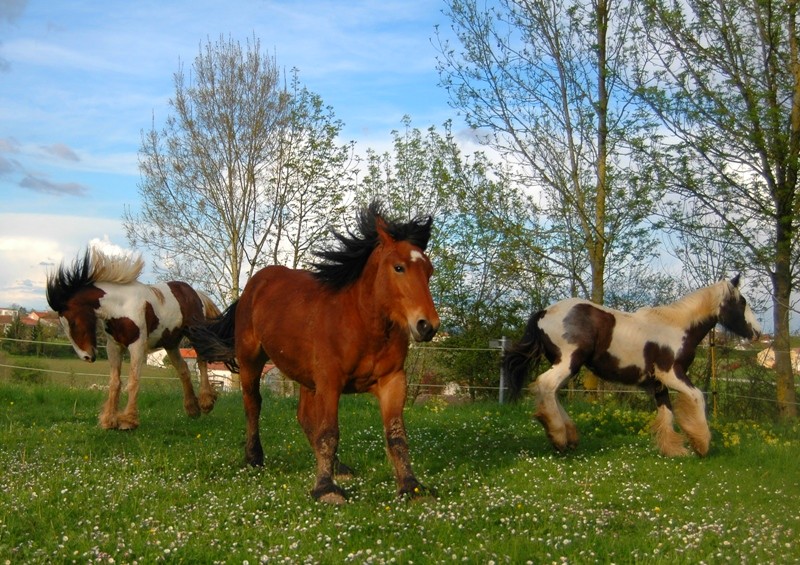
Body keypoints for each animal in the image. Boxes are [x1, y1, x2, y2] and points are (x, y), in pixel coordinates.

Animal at [47, 247, 222, 428]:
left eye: (73, 323)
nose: (87, 357)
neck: (120, 307)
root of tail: (196, 293)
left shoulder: (137, 346)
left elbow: (133, 381)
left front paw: (128, 421)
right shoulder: (114, 347)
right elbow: (114, 382)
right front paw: (109, 421)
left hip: (195, 334)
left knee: (201, 361)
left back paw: (206, 403)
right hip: (171, 343)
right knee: (184, 369)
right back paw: (192, 409)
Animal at [191, 202, 440, 502]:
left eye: (429, 271)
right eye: (399, 267)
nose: (427, 326)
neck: (362, 324)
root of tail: (254, 286)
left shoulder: (392, 381)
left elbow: (396, 435)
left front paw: (411, 486)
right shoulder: (329, 382)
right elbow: (329, 432)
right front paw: (326, 489)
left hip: (305, 377)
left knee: (303, 417)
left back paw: (338, 466)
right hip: (252, 361)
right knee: (253, 405)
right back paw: (254, 458)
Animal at [506, 276, 764, 456]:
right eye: (742, 302)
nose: (757, 333)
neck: (677, 328)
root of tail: (544, 313)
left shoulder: (658, 384)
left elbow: (667, 413)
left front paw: (673, 449)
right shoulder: (673, 375)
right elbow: (698, 396)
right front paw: (701, 444)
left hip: (568, 366)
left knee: (552, 391)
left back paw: (568, 435)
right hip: (569, 362)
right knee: (546, 385)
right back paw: (559, 437)